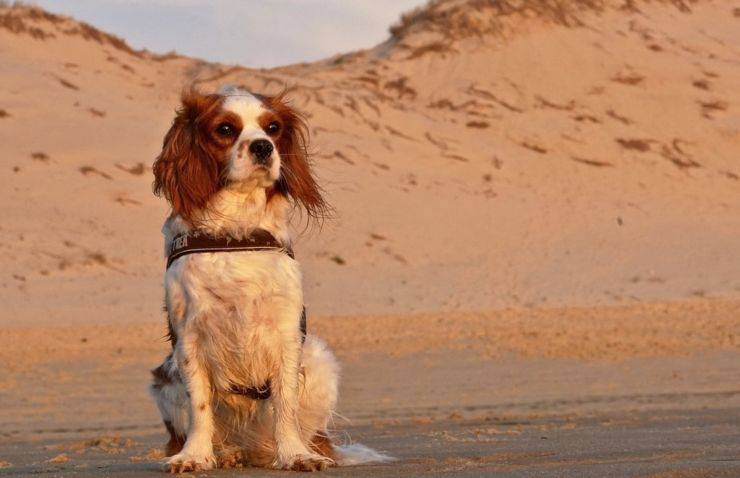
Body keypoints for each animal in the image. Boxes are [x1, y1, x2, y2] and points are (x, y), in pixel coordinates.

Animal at [147, 88, 384, 472]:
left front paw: (295, 455)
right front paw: (195, 456)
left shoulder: (286, 334)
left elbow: (285, 404)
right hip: (163, 379)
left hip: (319, 359)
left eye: (273, 128)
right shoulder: (189, 340)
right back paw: (225, 453)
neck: (237, 232)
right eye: (225, 129)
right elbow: (199, 406)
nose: (263, 147)